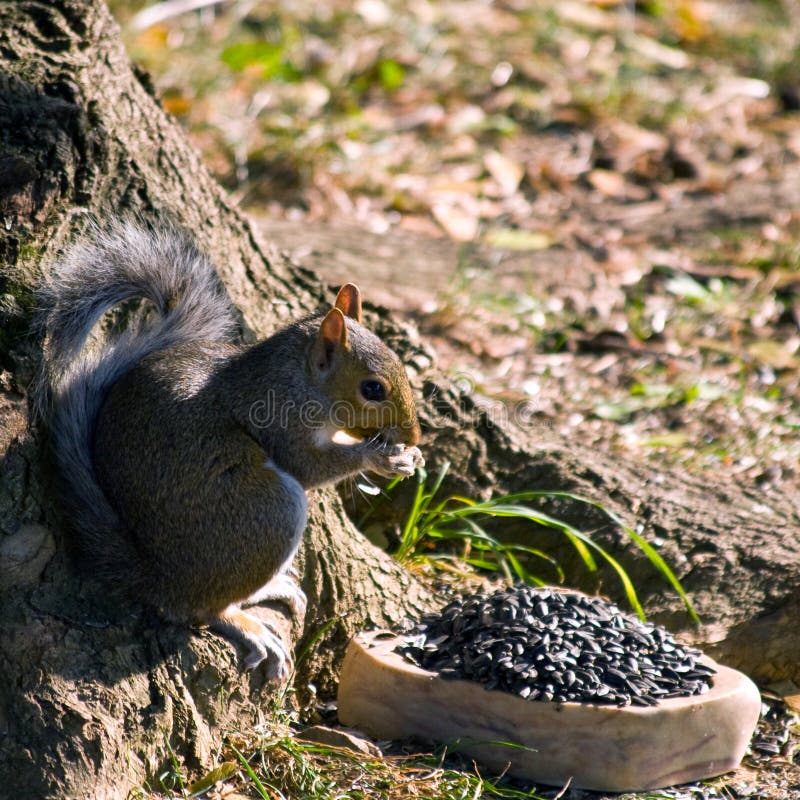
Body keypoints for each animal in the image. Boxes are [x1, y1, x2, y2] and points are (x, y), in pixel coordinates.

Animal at [37, 219, 424, 678]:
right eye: (372, 389)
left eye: (400, 363)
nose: (415, 436)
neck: (296, 378)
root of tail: (159, 575)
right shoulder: (281, 420)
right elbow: (309, 466)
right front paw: (380, 456)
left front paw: (408, 456)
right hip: (266, 510)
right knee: (200, 608)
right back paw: (246, 625)